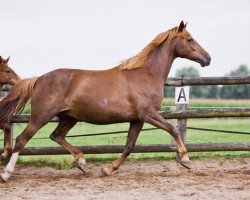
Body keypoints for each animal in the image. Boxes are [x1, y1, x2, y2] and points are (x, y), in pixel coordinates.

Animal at [0, 21, 211, 182]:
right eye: (190, 39)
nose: (207, 58)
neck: (146, 74)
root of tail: (39, 79)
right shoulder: (148, 114)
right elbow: (173, 129)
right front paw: (186, 160)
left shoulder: (137, 119)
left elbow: (129, 146)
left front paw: (107, 169)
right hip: (41, 116)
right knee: (22, 140)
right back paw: (6, 174)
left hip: (69, 117)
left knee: (56, 136)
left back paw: (82, 163)